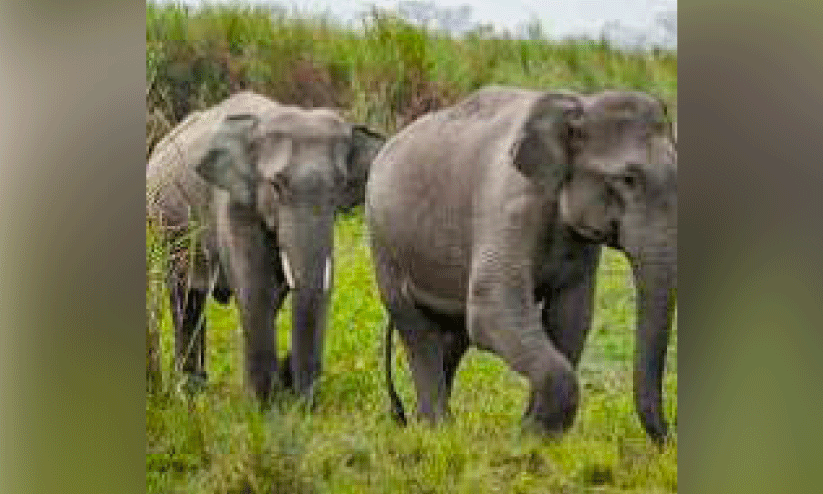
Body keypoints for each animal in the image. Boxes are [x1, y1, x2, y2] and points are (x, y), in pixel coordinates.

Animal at [146, 91, 385, 403]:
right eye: (276, 185)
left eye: (340, 186)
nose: (291, 378)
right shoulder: (235, 203)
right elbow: (255, 289)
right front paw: (263, 403)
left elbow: (284, 291)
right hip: (168, 229)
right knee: (185, 298)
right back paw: (191, 392)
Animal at [366, 86, 677, 444]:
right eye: (627, 179)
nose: (667, 442)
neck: (578, 104)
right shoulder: (508, 203)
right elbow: (493, 309)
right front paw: (530, 436)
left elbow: (570, 316)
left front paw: (535, 433)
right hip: (383, 240)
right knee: (417, 329)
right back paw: (436, 428)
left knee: (454, 334)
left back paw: (432, 425)